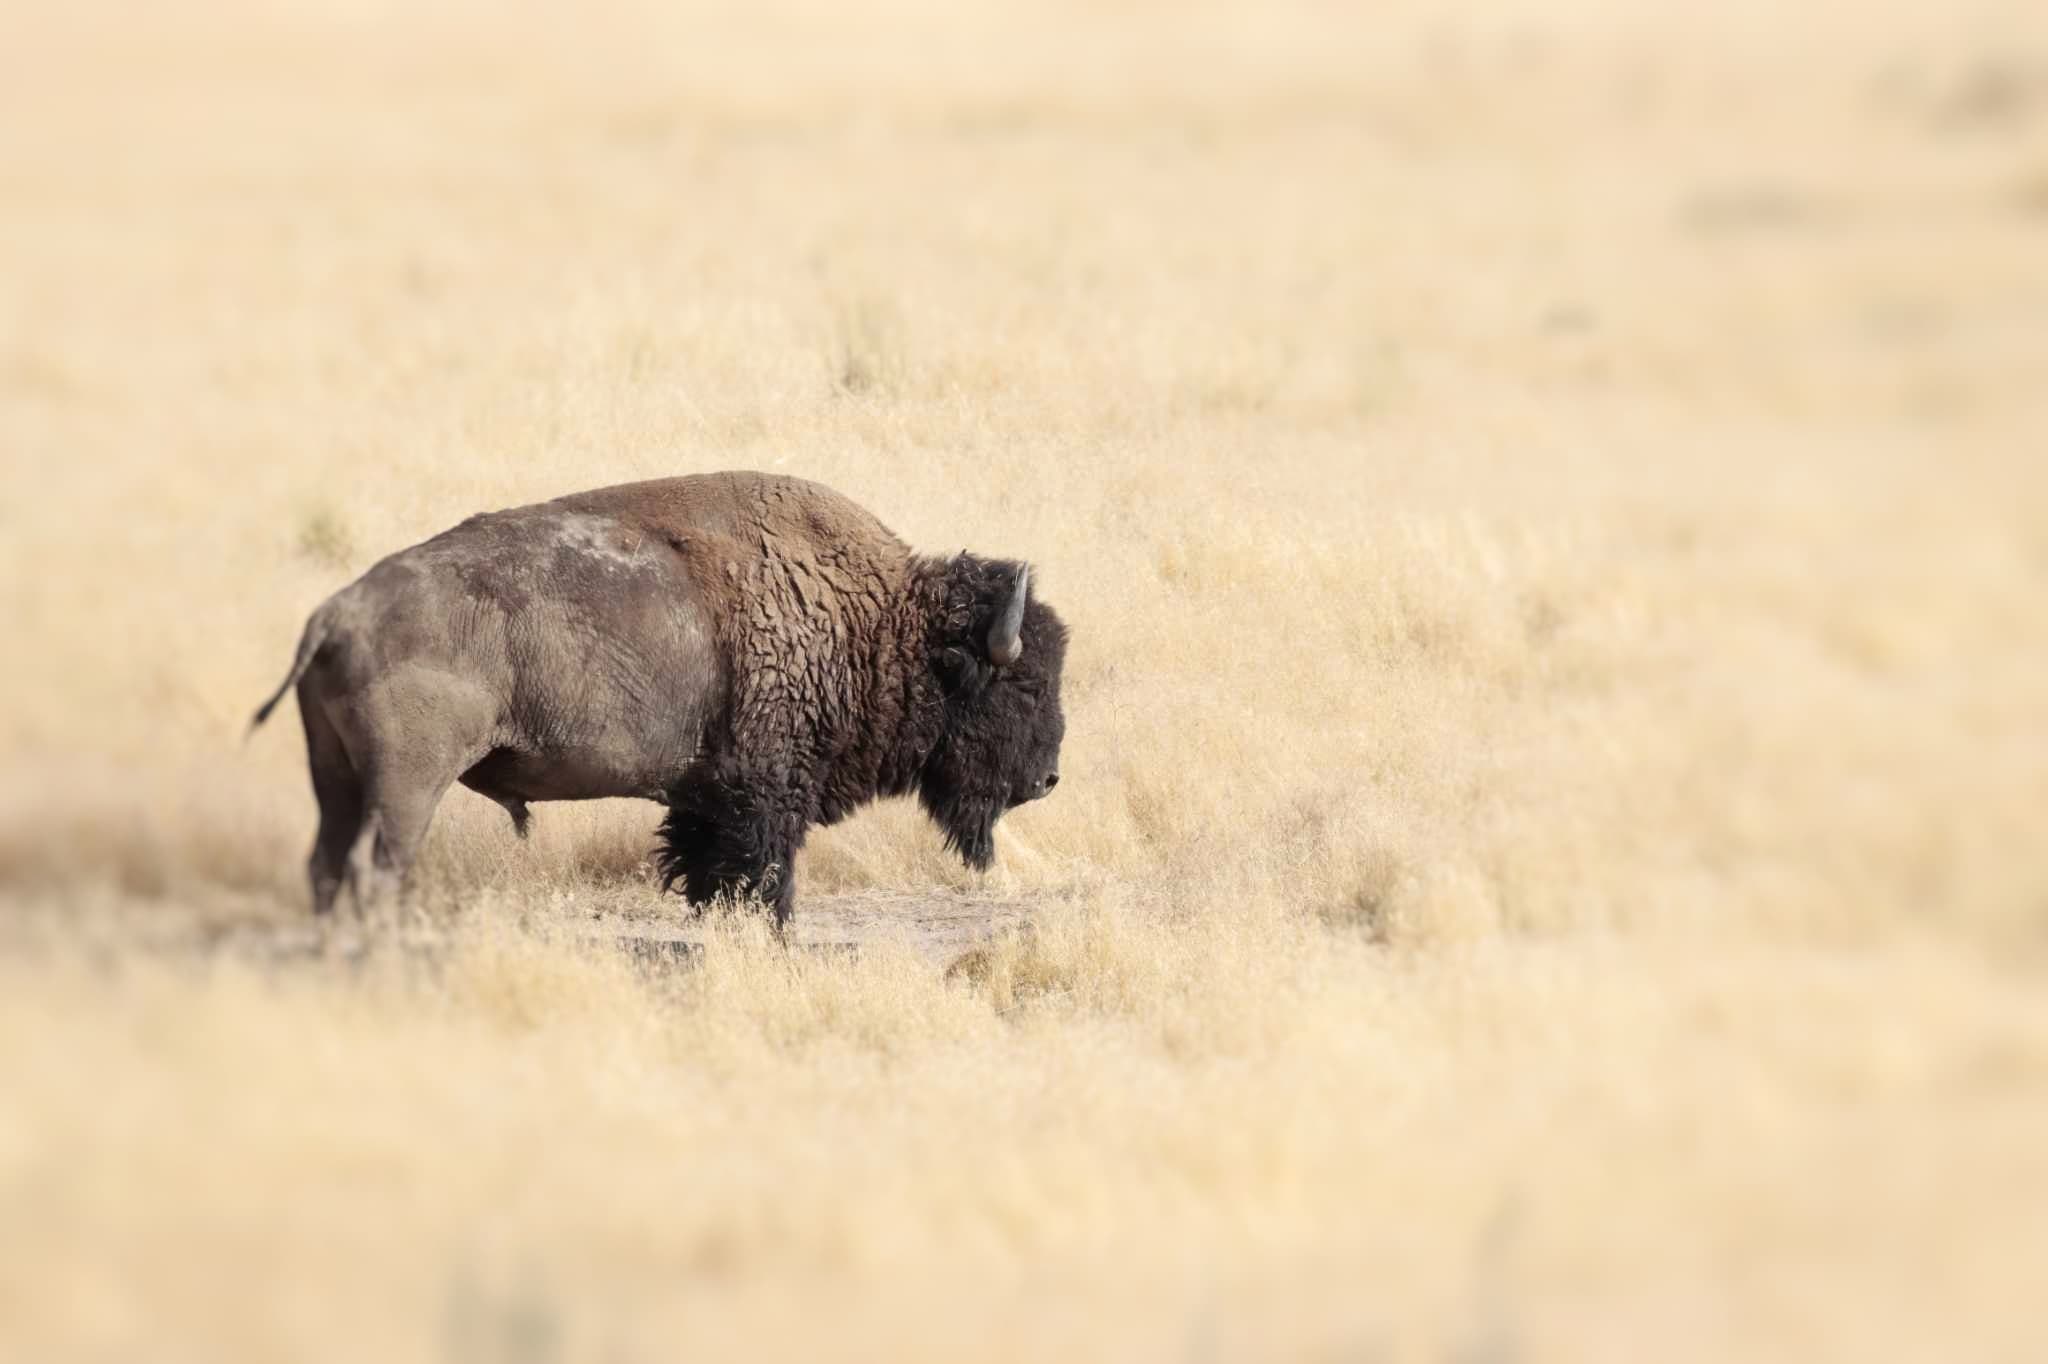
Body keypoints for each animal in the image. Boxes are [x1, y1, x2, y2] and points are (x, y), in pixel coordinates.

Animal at [250, 472, 1068, 926]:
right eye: (1022, 683)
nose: (1048, 778)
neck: (878, 622)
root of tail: (336, 615)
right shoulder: (766, 797)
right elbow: (764, 876)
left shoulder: (705, 798)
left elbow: (706, 869)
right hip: (408, 785)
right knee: (375, 869)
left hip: (336, 776)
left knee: (326, 866)